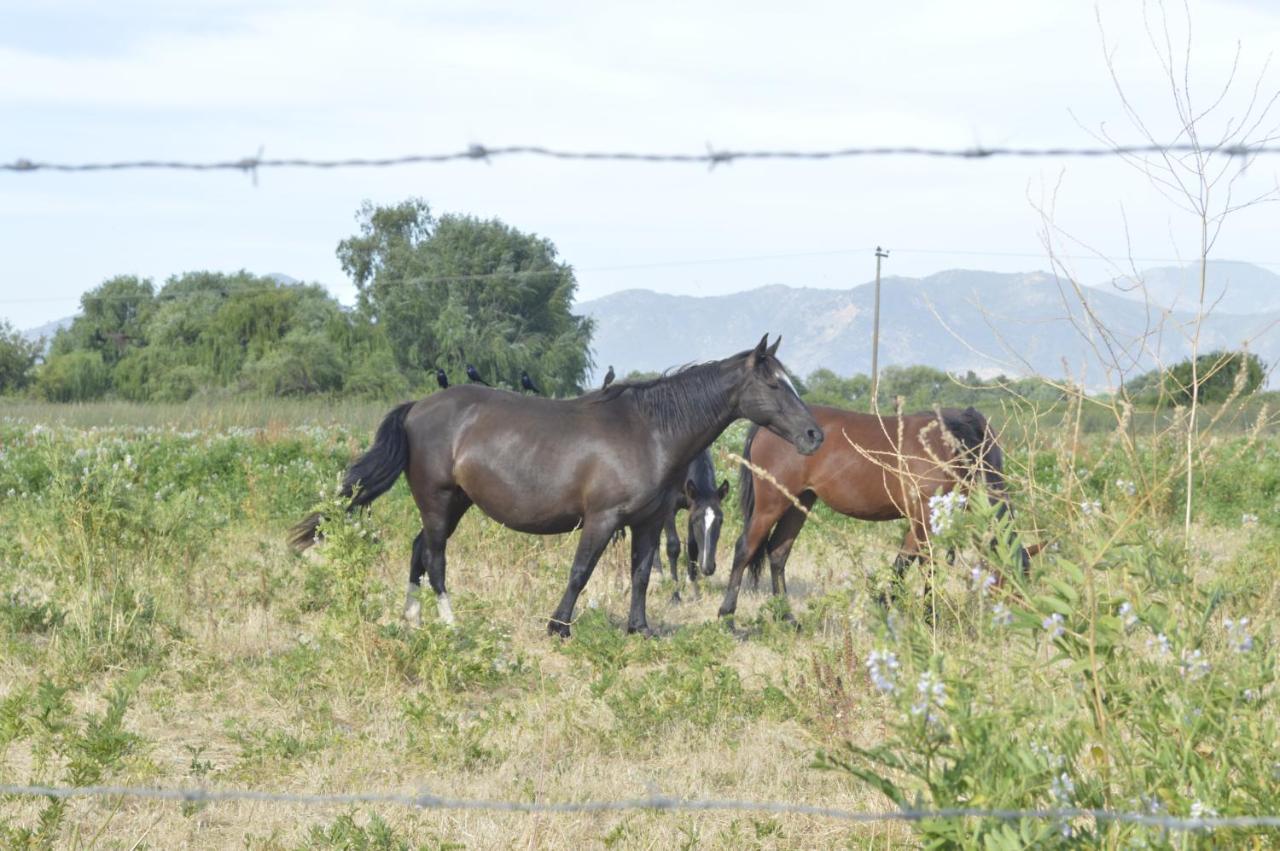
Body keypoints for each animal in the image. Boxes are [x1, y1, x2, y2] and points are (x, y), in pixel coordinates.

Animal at [665, 447, 727, 601]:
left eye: (720, 520)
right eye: (697, 520)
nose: (708, 567)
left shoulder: (690, 507)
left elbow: (692, 545)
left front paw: (694, 586)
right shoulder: (668, 509)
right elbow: (673, 546)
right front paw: (675, 594)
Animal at [716, 404, 1034, 616]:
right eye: (1010, 579)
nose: (1025, 617)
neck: (954, 446)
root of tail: (765, 427)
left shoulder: (918, 520)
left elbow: (904, 562)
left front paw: (884, 603)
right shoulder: (924, 516)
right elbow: (924, 563)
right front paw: (928, 615)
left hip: (800, 502)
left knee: (778, 552)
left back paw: (787, 617)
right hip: (772, 503)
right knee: (746, 548)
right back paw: (727, 615)